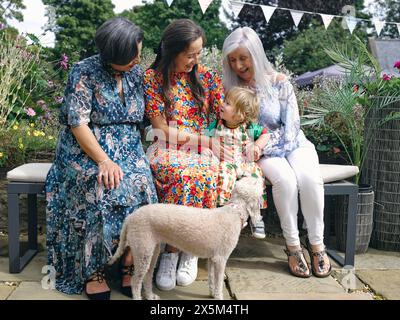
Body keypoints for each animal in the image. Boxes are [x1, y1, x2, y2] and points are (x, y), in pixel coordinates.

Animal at [108, 175, 264, 300]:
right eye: (256, 183)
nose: (259, 177)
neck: (234, 211)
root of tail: (130, 217)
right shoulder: (221, 259)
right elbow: (219, 283)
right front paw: (218, 296)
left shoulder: (212, 258)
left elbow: (212, 279)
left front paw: (212, 293)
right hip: (142, 249)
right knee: (135, 281)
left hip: (152, 249)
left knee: (147, 275)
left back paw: (151, 296)